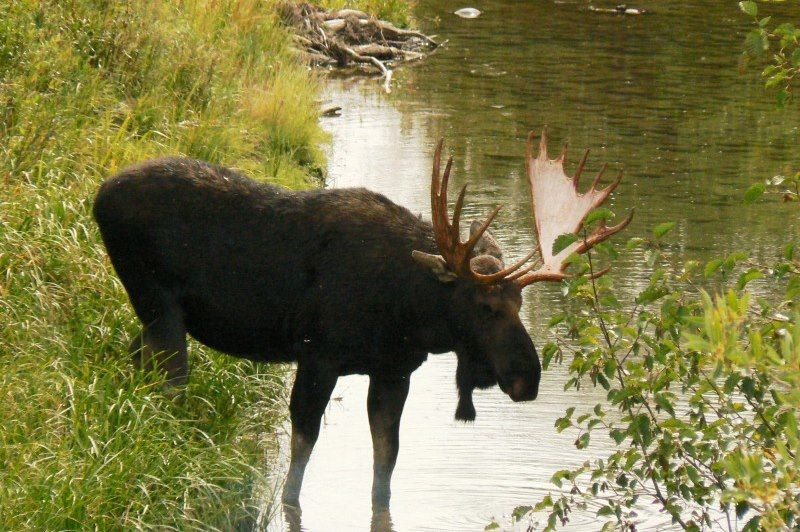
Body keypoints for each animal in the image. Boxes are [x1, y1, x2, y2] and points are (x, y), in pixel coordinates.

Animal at [92, 128, 632, 508]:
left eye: (520, 305)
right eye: (484, 306)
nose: (528, 377)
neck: (407, 311)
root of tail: (97, 197)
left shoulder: (394, 371)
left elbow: (385, 464)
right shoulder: (318, 356)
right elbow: (301, 456)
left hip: (153, 316)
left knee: (135, 362)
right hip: (159, 306)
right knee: (168, 386)